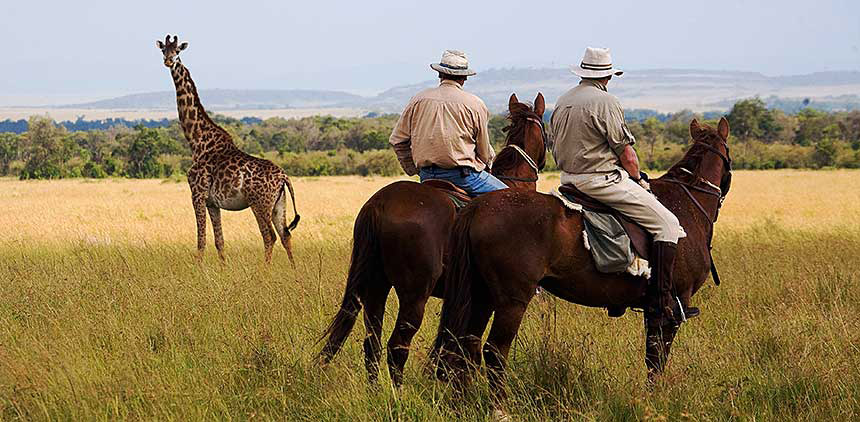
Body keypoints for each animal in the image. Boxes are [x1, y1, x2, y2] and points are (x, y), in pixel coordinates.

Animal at [156, 35, 300, 264]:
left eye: (177, 51)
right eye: (164, 50)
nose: (169, 61)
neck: (197, 141)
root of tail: (283, 177)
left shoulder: (197, 194)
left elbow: (201, 240)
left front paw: (199, 269)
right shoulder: (212, 202)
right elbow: (219, 241)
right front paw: (223, 268)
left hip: (260, 203)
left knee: (270, 236)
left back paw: (264, 271)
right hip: (279, 203)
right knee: (286, 234)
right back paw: (294, 270)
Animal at [436, 117, 732, 404]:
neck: (688, 203)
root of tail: (477, 207)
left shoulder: (653, 310)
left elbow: (652, 357)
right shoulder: (673, 306)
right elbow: (657, 359)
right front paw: (656, 399)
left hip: (480, 295)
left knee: (465, 346)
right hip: (511, 301)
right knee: (494, 351)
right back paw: (499, 408)